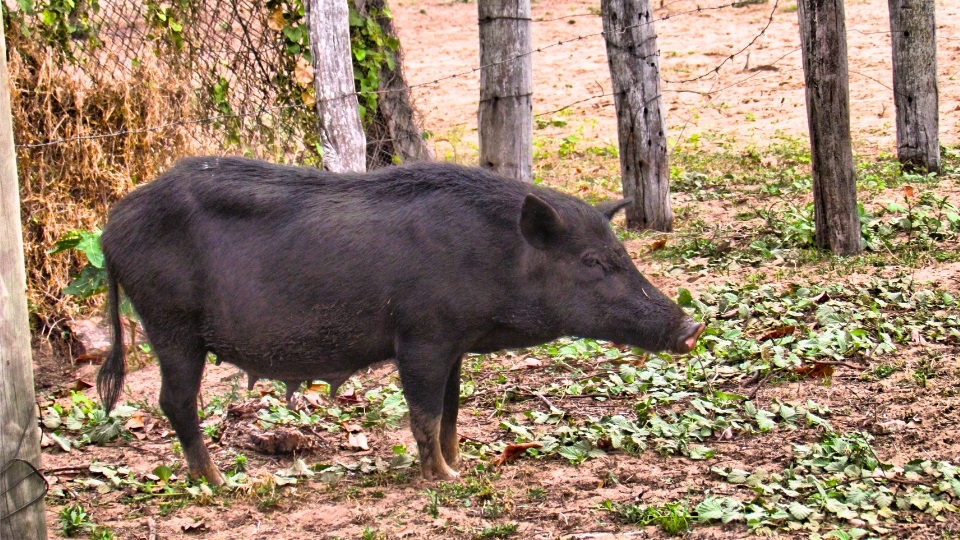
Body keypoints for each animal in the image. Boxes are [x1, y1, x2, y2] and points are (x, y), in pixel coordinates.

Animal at [99, 158, 704, 484]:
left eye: (622, 253)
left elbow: (452, 411)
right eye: (594, 262)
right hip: (170, 321)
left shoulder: (455, 343)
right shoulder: (422, 336)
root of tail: (109, 229)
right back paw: (223, 482)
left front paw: (467, 463)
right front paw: (445, 478)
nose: (691, 327)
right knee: (175, 401)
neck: (495, 260)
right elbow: (424, 413)